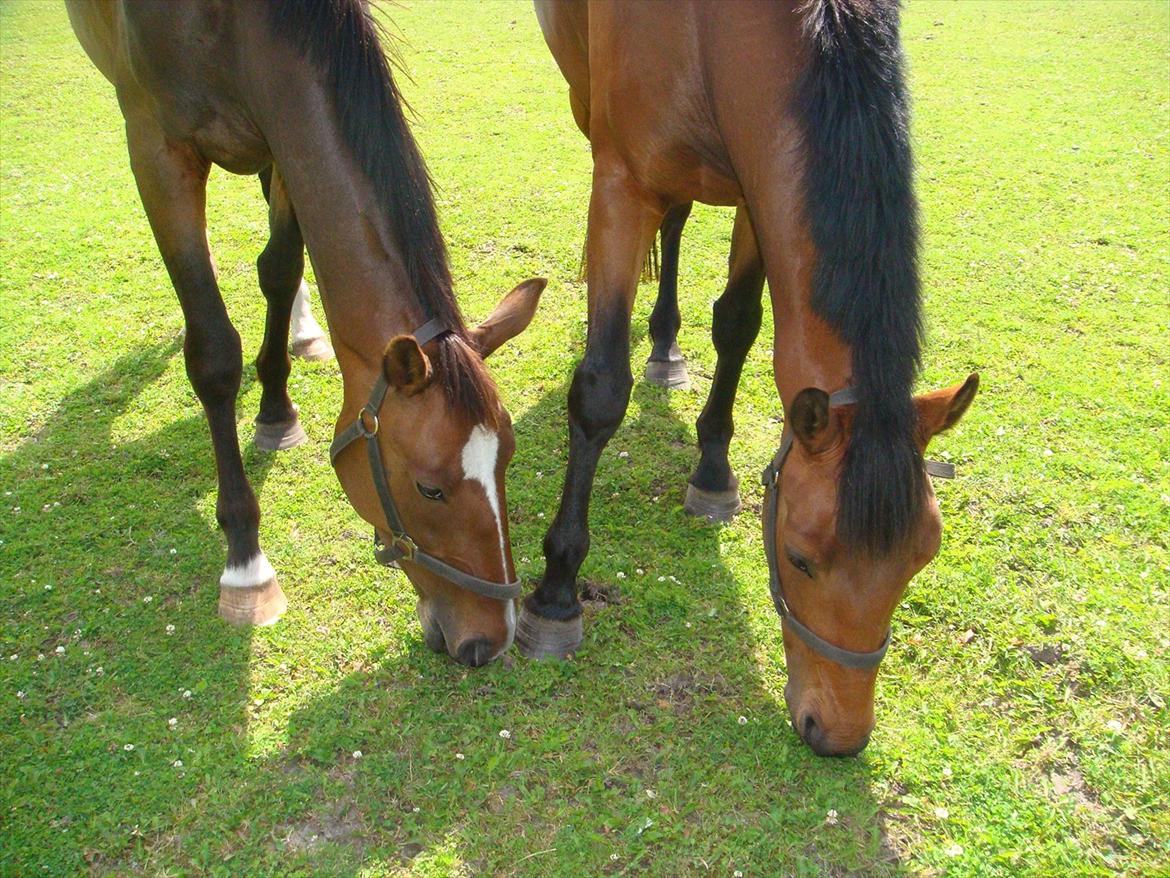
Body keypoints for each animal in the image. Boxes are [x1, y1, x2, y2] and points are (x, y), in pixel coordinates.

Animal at [69, 0, 547, 664]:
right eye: (429, 490)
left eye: (507, 460)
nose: (492, 639)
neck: (219, 23)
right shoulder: (156, 149)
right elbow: (213, 352)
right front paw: (245, 564)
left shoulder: (286, 141)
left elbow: (279, 268)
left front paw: (276, 407)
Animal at [531, 1, 978, 758]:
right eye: (799, 559)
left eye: (922, 559)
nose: (838, 734)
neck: (708, 33)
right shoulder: (620, 183)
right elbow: (600, 391)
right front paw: (558, 587)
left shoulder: (759, 188)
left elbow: (738, 323)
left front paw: (712, 470)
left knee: (680, 221)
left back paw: (666, 345)